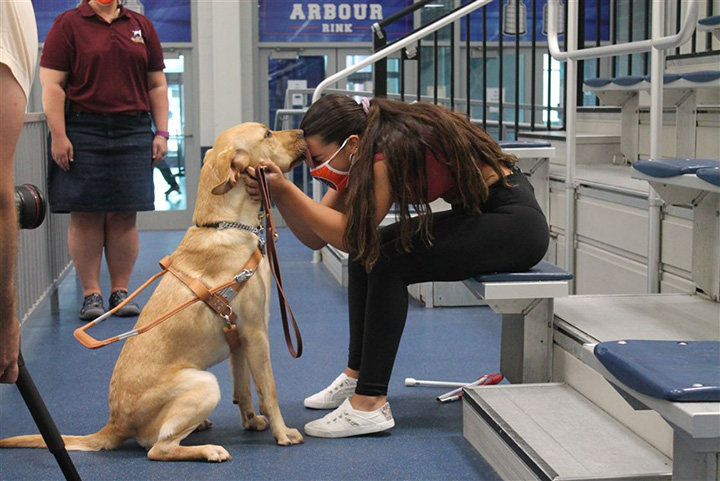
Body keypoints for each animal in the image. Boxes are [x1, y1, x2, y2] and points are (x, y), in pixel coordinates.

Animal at [0, 122, 306, 460]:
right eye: (267, 134)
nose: (303, 131)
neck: (225, 224)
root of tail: (114, 424)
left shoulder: (238, 338)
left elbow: (244, 389)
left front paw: (251, 421)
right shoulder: (255, 332)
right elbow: (269, 389)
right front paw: (283, 433)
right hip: (204, 383)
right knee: (158, 448)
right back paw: (209, 450)